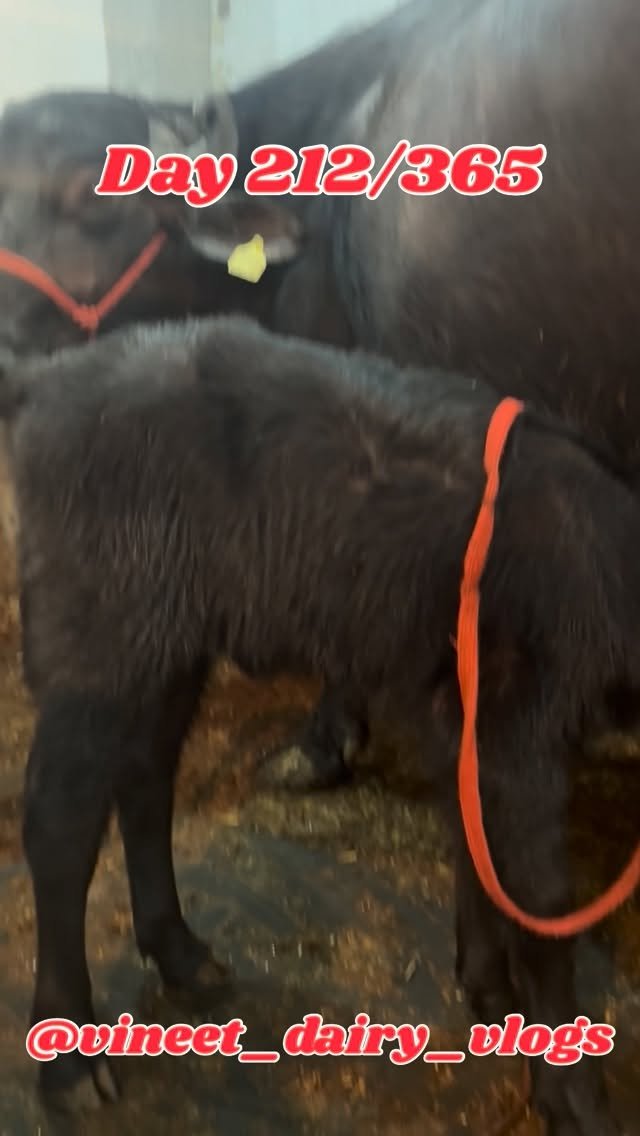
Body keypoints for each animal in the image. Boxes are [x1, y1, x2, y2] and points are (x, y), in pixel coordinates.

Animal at [0, 312, 637, 1134]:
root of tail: (48, 378)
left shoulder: (459, 717)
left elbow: (475, 848)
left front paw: (488, 988)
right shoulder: (517, 722)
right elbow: (538, 900)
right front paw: (574, 1095)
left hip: (169, 641)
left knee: (144, 779)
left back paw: (180, 952)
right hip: (95, 633)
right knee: (61, 824)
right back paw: (71, 1059)